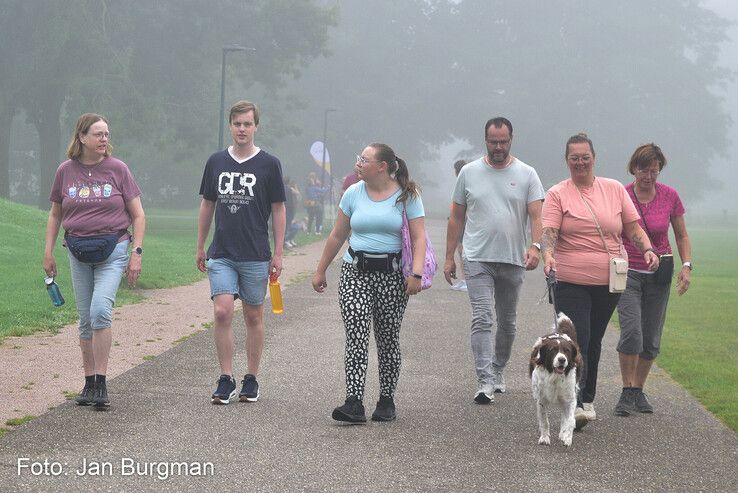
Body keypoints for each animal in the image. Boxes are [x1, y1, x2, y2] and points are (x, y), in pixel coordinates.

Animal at [528, 314, 580, 448]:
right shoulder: (541, 400)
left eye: (567, 350)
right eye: (552, 350)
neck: (555, 376)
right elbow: (544, 421)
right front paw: (544, 438)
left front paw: (567, 437)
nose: (562, 360)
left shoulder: (570, 399)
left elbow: (570, 420)